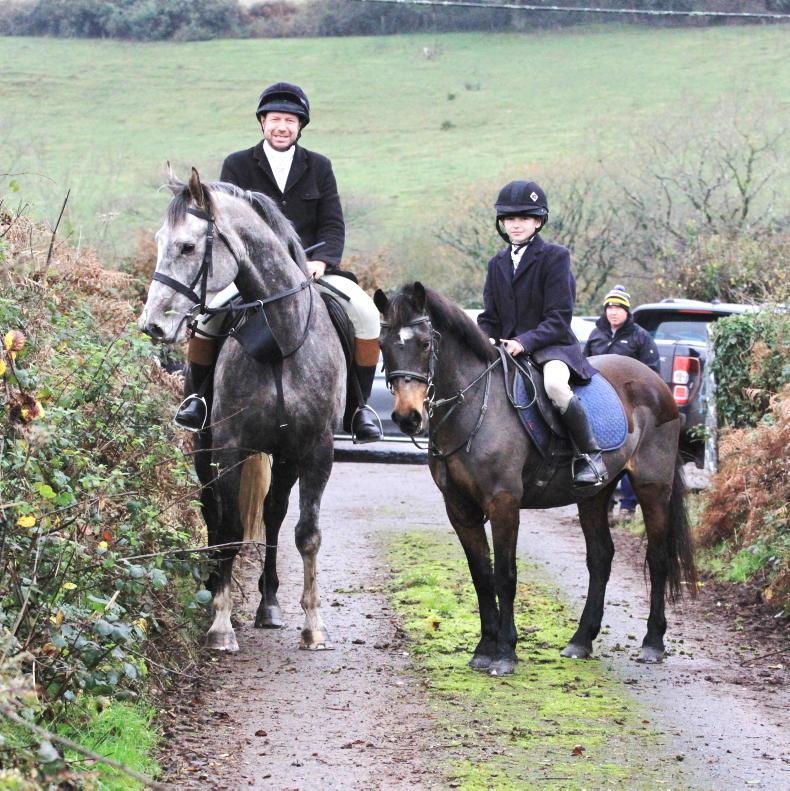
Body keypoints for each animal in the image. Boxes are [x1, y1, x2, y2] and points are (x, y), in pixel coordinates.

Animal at [138, 168, 345, 652]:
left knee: (273, 515)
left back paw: (268, 605)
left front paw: (313, 625)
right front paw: (220, 624)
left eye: (188, 247)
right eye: (159, 240)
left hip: (284, 458)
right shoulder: (228, 449)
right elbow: (229, 531)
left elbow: (307, 534)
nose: (152, 325)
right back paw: (214, 592)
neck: (280, 339)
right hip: (204, 451)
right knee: (213, 516)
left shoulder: (316, 451)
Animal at [374, 282, 696, 676]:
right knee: (600, 557)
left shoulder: (503, 502)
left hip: (653, 486)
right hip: (595, 494)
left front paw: (505, 653)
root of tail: (654, 380)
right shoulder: (460, 508)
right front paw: (484, 648)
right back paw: (581, 640)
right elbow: (481, 574)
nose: (407, 417)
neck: (475, 405)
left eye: (424, 343)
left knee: (658, 557)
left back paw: (652, 643)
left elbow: (505, 574)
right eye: (383, 344)